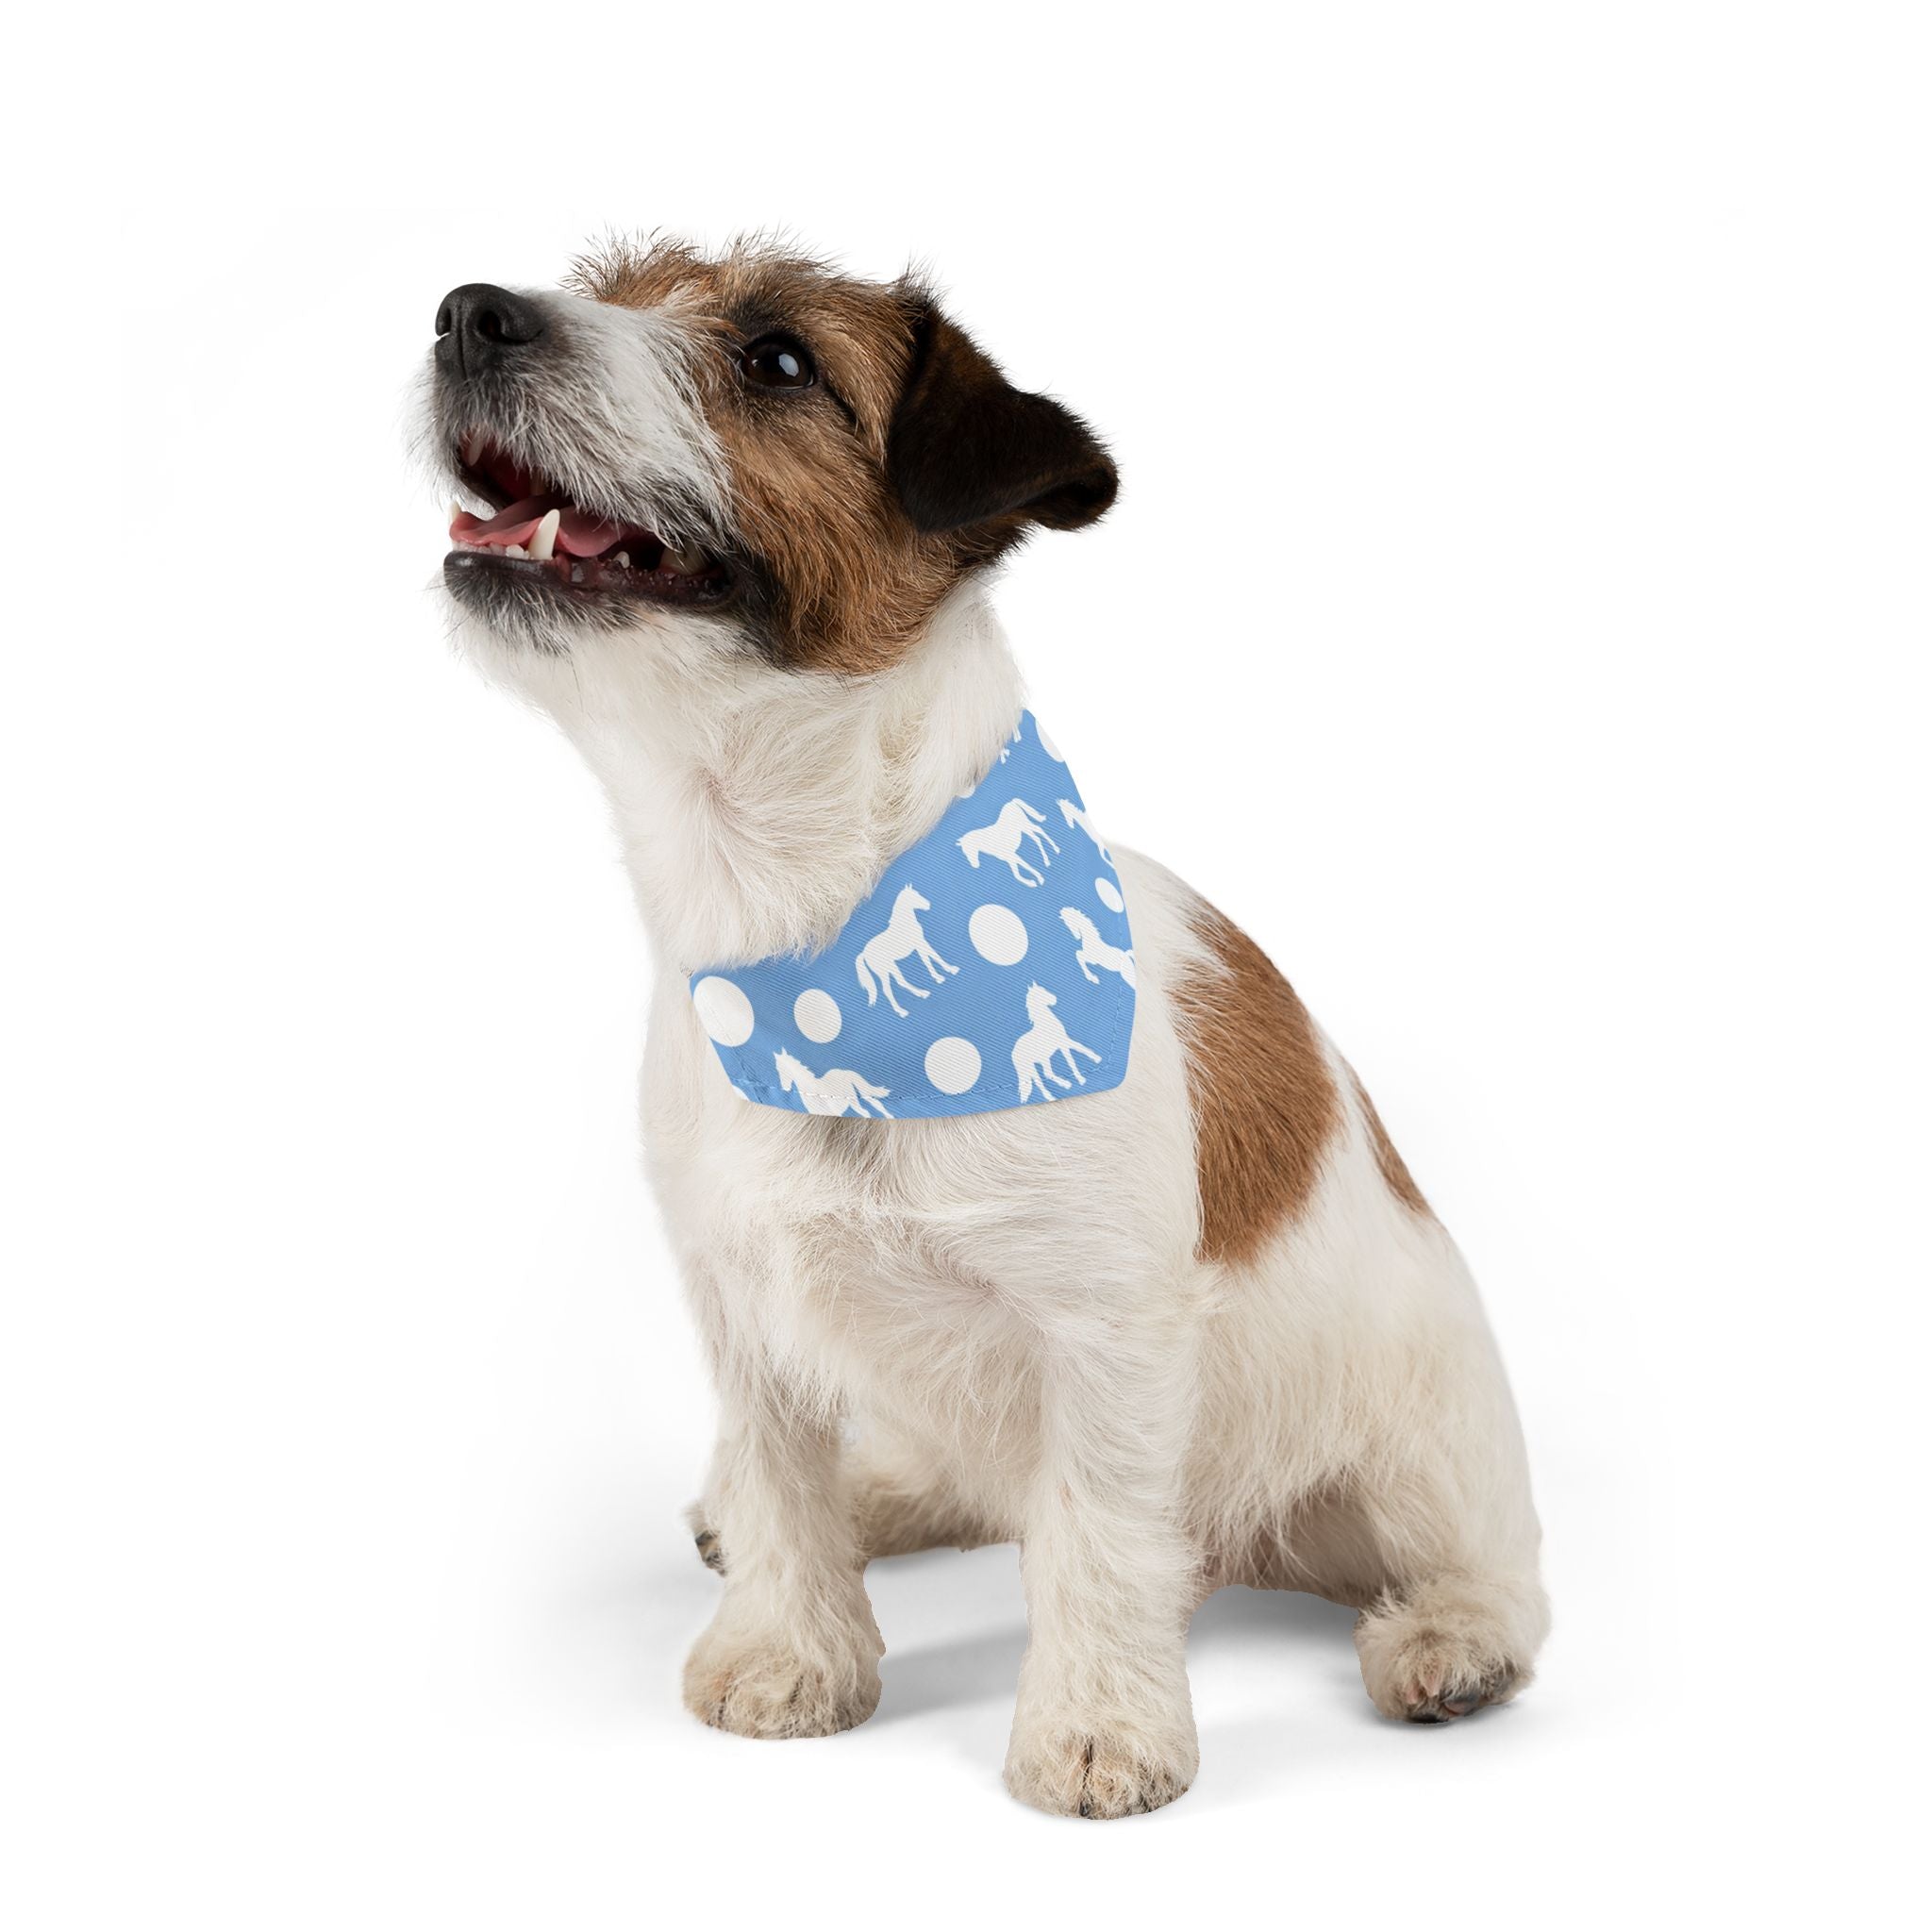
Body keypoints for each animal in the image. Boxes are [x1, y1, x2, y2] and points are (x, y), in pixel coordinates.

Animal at [855, 884, 959, 1017]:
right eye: (915, 895)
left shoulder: (921, 944)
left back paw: (922, 993)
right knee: (887, 990)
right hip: (884, 971)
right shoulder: (920, 944)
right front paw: (942, 976)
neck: (905, 923)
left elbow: (931, 957)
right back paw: (902, 1011)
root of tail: (864, 954)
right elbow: (930, 958)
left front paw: (947, 971)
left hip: (891, 967)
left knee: (901, 982)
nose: (929, 904)